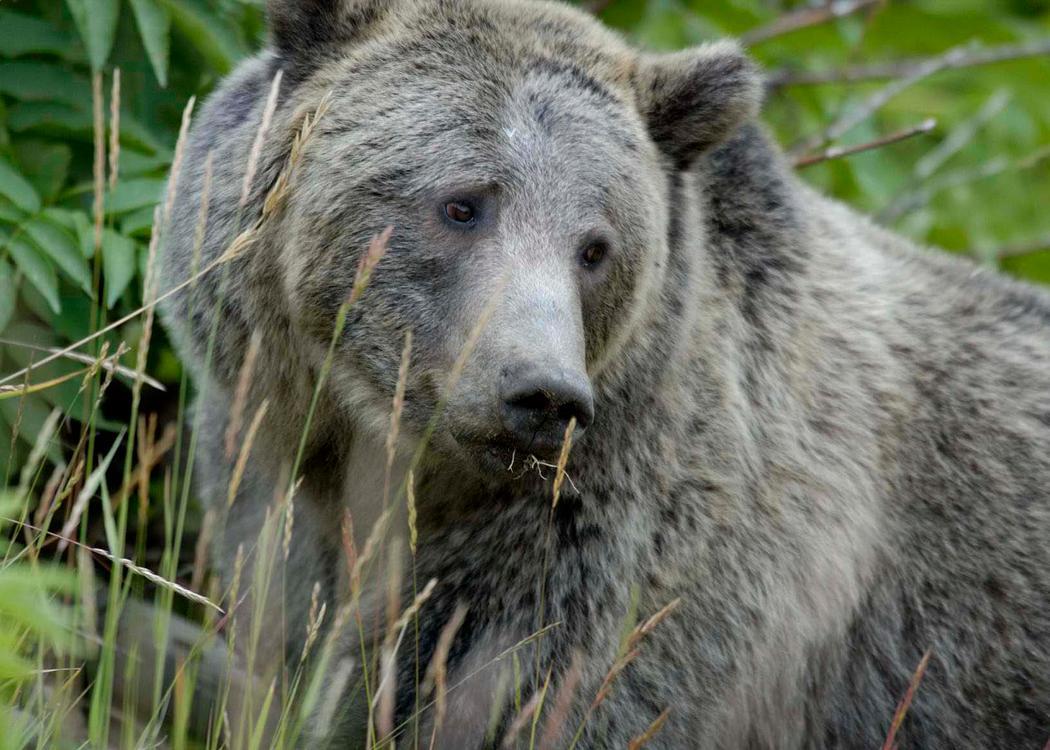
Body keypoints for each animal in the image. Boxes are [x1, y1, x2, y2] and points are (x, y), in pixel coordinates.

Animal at [157, 0, 1050, 743]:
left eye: (595, 246)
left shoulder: (625, 556)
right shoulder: (269, 472)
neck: (401, 465)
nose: (541, 393)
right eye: (461, 204)